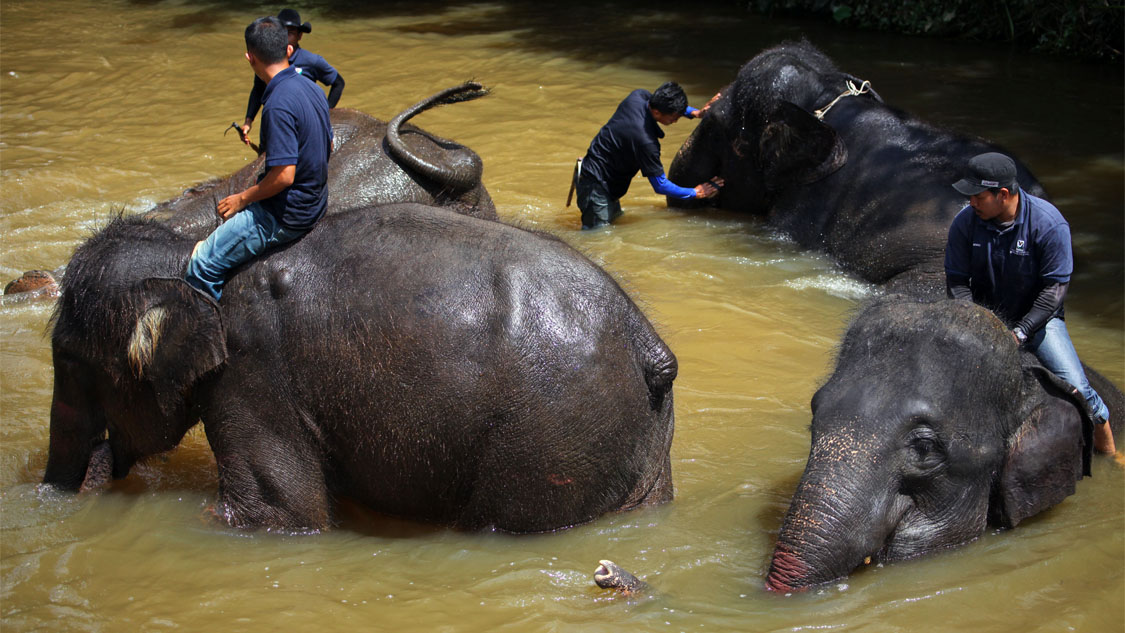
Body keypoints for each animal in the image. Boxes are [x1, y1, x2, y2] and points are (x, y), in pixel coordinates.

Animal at [41, 204, 675, 535]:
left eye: (70, 361)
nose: (98, 463)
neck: (190, 259)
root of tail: (647, 345)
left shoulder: (251, 377)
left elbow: (278, 513)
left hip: (552, 436)